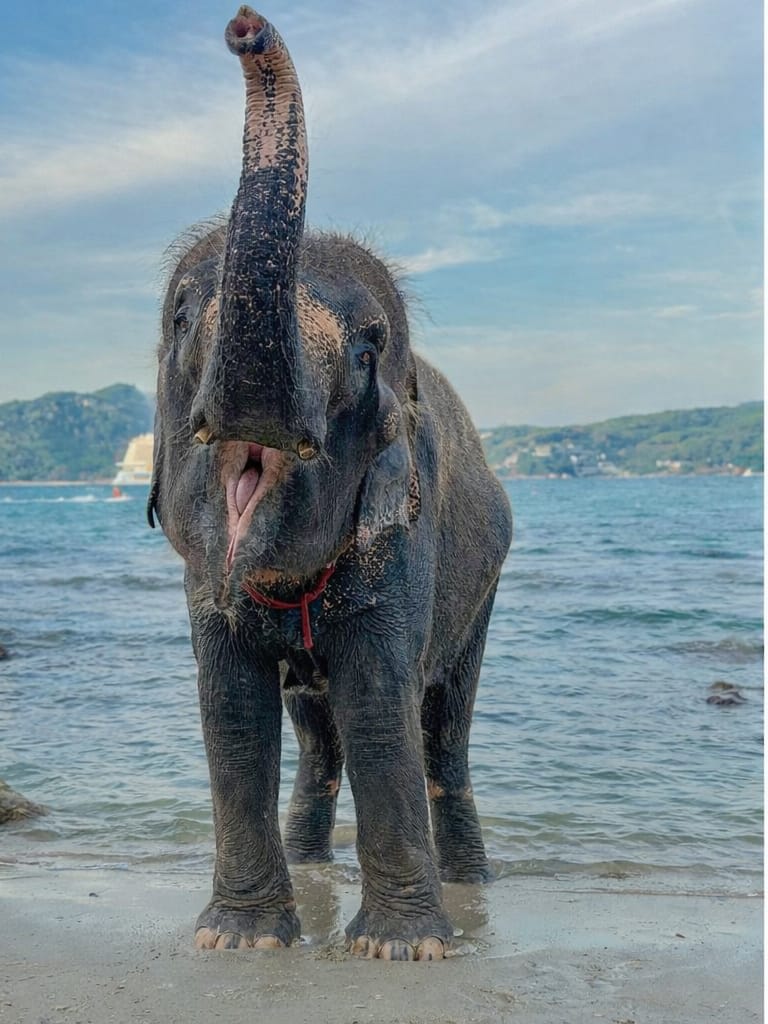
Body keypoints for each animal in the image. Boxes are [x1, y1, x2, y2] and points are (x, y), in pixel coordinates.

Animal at [148, 6, 512, 961]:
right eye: (181, 318)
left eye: (365, 350)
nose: (244, 26)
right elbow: (232, 706)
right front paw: (240, 941)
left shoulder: (405, 542)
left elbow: (380, 697)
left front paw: (402, 948)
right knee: (318, 738)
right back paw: (314, 869)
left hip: (484, 590)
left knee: (442, 732)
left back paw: (472, 886)